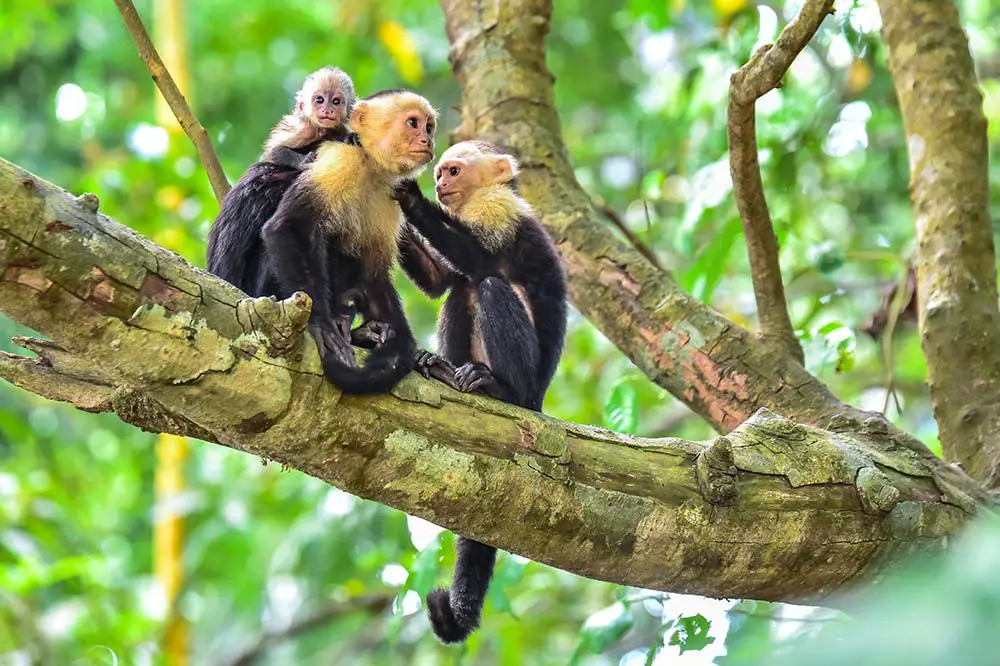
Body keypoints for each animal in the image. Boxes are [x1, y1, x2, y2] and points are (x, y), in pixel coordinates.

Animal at [262, 87, 438, 392]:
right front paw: (320, 323)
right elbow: (288, 226)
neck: (369, 165)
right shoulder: (339, 161)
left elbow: (373, 274)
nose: (427, 139)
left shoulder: (391, 197)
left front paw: (402, 347)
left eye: (428, 127)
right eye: (413, 123)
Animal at [392, 141, 572, 644]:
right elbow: (441, 281)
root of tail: (538, 401)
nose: (437, 183)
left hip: (529, 384)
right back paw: (442, 369)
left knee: (487, 284)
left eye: (452, 171)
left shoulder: (499, 208)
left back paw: (498, 388)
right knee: (460, 291)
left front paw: (410, 199)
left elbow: (480, 260)